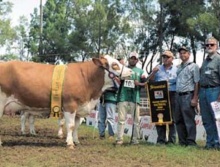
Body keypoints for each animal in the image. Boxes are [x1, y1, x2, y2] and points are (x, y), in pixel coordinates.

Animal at [0, 55, 132, 148]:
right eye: (114, 65)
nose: (131, 71)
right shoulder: (70, 106)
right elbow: (70, 125)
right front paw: (69, 143)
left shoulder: (79, 109)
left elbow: (77, 126)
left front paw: (76, 141)